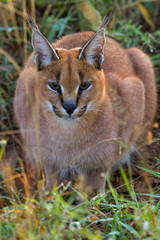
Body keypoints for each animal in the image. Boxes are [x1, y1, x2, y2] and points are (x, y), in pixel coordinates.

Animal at [13, 13, 156, 194]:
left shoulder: (133, 89)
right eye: (54, 86)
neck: (69, 134)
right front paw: (49, 194)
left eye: (84, 85)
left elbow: (99, 177)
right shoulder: (47, 159)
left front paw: (97, 197)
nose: (69, 107)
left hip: (142, 60)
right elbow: (51, 174)